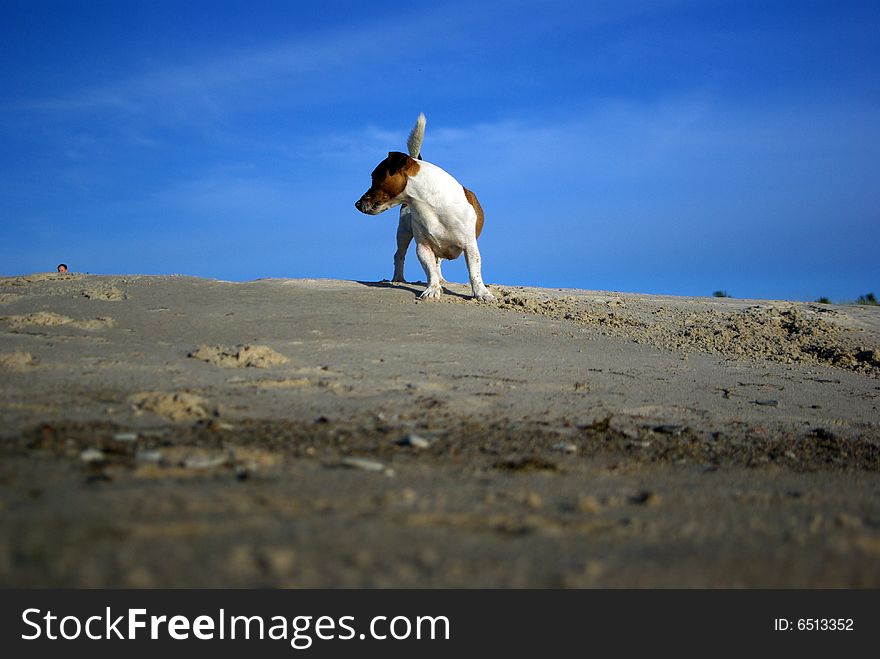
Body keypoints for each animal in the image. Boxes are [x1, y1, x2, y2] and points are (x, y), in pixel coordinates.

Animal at [358, 116, 496, 304]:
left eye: (374, 177)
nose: (357, 204)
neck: (428, 204)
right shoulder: (423, 247)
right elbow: (430, 270)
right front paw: (433, 289)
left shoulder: (470, 245)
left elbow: (474, 272)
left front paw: (482, 293)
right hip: (403, 232)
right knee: (399, 255)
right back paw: (398, 279)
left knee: (438, 262)